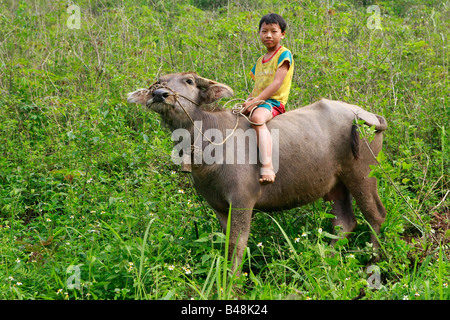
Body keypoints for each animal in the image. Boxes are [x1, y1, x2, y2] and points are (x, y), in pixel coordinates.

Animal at [126, 73, 386, 272]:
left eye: (189, 80)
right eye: (159, 82)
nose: (161, 94)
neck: (210, 140)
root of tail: (367, 115)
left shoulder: (242, 201)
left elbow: (237, 244)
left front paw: (232, 283)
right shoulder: (218, 205)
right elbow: (227, 242)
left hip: (363, 172)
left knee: (375, 214)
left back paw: (372, 262)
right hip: (336, 184)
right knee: (344, 223)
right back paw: (324, 262)